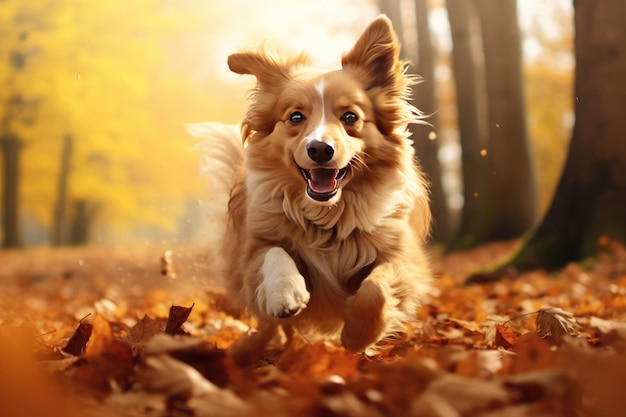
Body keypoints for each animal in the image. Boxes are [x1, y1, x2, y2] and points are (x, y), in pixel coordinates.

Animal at [188, 17, 432, 354]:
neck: (328, 217)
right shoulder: (253, 251)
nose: (319, 149)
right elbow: (275, 253)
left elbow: (376, 289)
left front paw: (358, 334)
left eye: (350, 117)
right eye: (295, 117)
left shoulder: (402, 255)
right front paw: (285, 293)